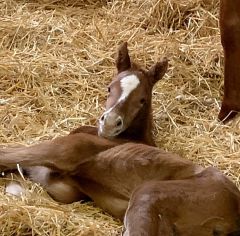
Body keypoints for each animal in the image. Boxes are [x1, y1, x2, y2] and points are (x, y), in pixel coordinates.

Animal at [1, 43, 240, 235]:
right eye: (109, 88)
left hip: (148, 194)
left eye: (142, 99)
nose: (109, 123)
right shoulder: (63, 186)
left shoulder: (65, 151)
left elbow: (10, 153)